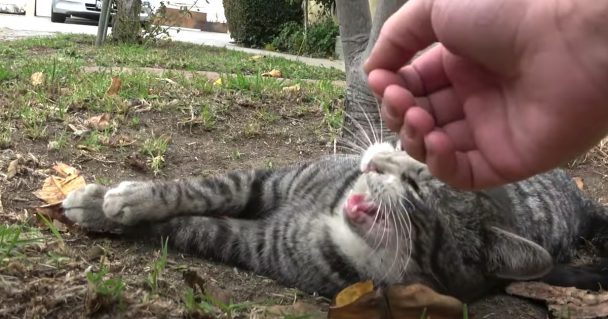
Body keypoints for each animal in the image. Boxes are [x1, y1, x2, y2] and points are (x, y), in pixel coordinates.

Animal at [61, 142, 608, 302]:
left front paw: (111, 214)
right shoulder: (266, 182)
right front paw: (111, 198)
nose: (376, 159)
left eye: (419, 185)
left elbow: (193, 225)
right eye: (409, 145)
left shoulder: (260, 244)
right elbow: (204, 189)